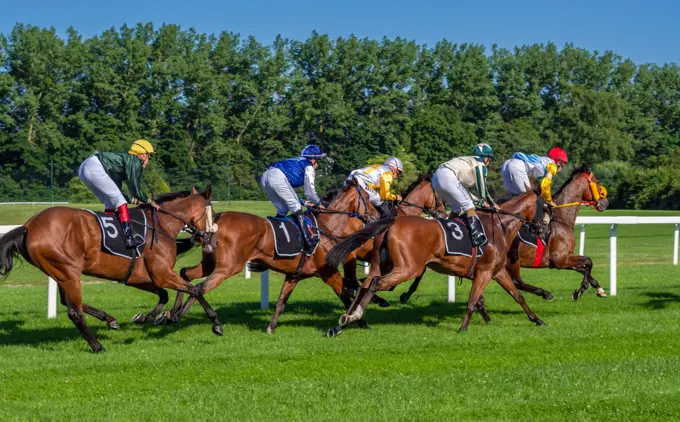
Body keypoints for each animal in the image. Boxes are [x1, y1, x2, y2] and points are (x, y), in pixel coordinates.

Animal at [0, 188, 218, 352]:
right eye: (212, 212)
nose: (211, 239)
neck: (162, 226)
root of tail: (28, 226)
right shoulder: (162, 274)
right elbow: (195, 289)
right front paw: (215, 323)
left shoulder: (138, 277)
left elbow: (164, 294)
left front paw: (148, 317)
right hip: (68, 271)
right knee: (74, 311)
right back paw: (98, 346)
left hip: (61, 273)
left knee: (68, 303)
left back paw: (110, 320)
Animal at [326, 192, 544, 336]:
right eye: (546, 208)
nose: (544, 230)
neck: (499, 227)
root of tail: (392, 223)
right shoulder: (485, 271)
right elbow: (473, 300)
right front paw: (463, 328)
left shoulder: (497, 272)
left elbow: (517, 296)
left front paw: (537, 319)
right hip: (408, 268)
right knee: (374, 283)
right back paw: (356, 315)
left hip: (382, 264)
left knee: (365, 284)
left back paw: (346, 320)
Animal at [396, 166, 608, 304]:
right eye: (597, 183)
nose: (605, 202)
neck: (560, 218)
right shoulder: (559, 259)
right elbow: (588, 262)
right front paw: (579, 292)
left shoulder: (562, 260)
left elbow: (585, 267)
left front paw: (598, 288)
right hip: (511, 259)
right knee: (517, 281)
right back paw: (545, 293)